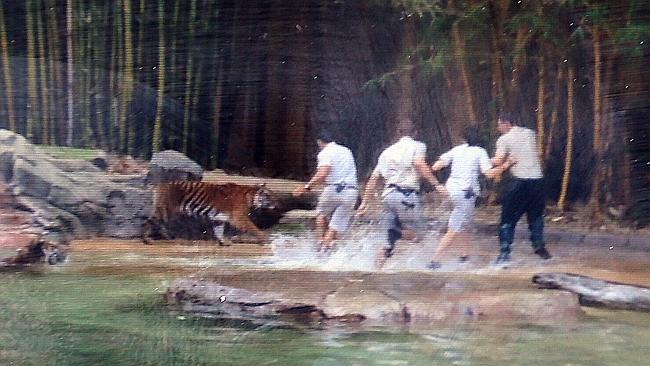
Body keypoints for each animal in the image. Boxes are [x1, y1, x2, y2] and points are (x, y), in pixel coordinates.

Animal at [142, 181, 278, 244]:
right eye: (268, 196)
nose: (276, 205)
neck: (250, 196)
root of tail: (160, 185)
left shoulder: (218, 219)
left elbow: (219, 231)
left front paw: (224, 242)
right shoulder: (239, 218)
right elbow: (254, 228)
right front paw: (266, 239)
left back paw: (168, 237)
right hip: (165, 209)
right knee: (150, 221)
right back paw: (148, 239)